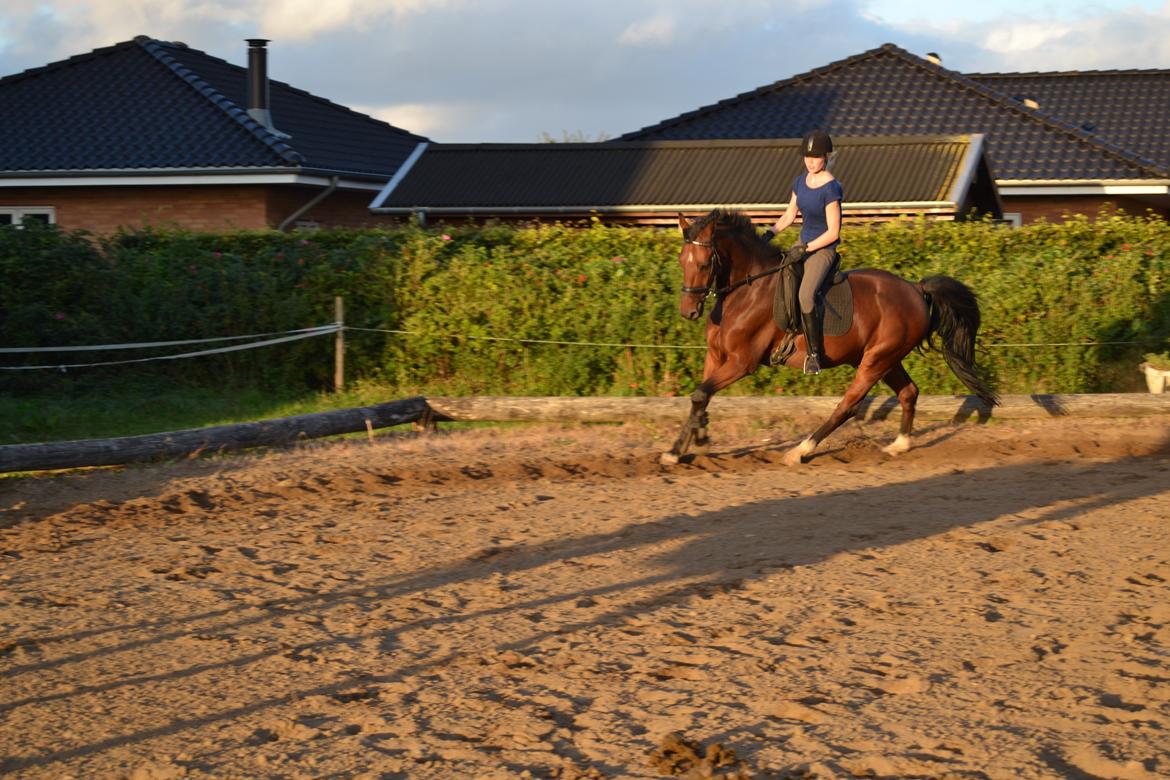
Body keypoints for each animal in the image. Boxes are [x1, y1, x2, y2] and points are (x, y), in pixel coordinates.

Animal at [664, 206, 1001, 467]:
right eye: (681, 260)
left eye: (704, 264)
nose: (688, 311)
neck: (745, 290)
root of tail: (916, 289)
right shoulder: (716, 356)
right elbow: (700, 396)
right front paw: (689, 441)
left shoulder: (740, 362)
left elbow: (700, 394)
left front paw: (682, 446)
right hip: (885, 359)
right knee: (908, 392)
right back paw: (899, 445)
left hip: (876, 360)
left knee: (848, 406)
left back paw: (800, 451)